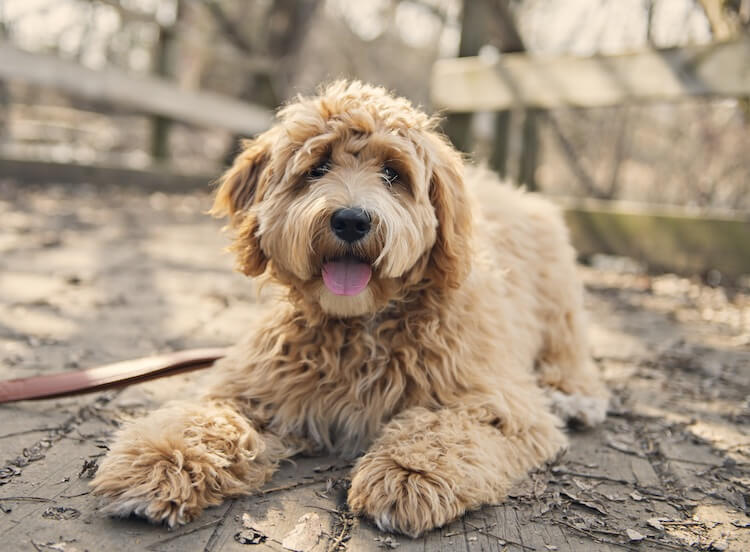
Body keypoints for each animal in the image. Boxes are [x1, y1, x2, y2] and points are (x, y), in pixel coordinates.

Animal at [94, 82, 612, 540]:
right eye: (317, 167)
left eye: (393, 174)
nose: (350, 219)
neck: (360, 325)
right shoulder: (258, 389)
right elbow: (208, 419)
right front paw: (161, 460)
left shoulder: (499, 402)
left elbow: (448, 427)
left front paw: (407, 474)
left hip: (558, 303)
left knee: (570, 355)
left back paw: (574, 397)